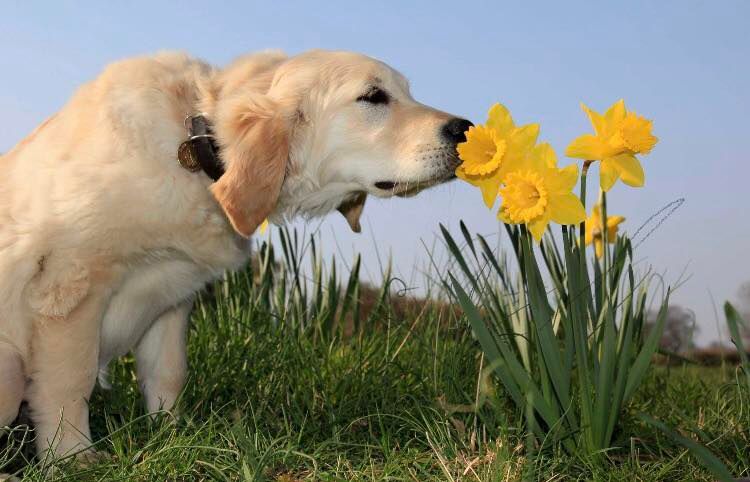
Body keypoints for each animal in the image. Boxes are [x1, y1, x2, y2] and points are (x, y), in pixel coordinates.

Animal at [0, 49, 472, 460]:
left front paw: (174, 437)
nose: (465, 128)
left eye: (406, 91)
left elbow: (168, 372)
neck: (192, 153)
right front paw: (72, 457)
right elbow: (69, 381)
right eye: (373, 96)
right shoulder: (71, 283)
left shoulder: (170, 297)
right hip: (9, 372)